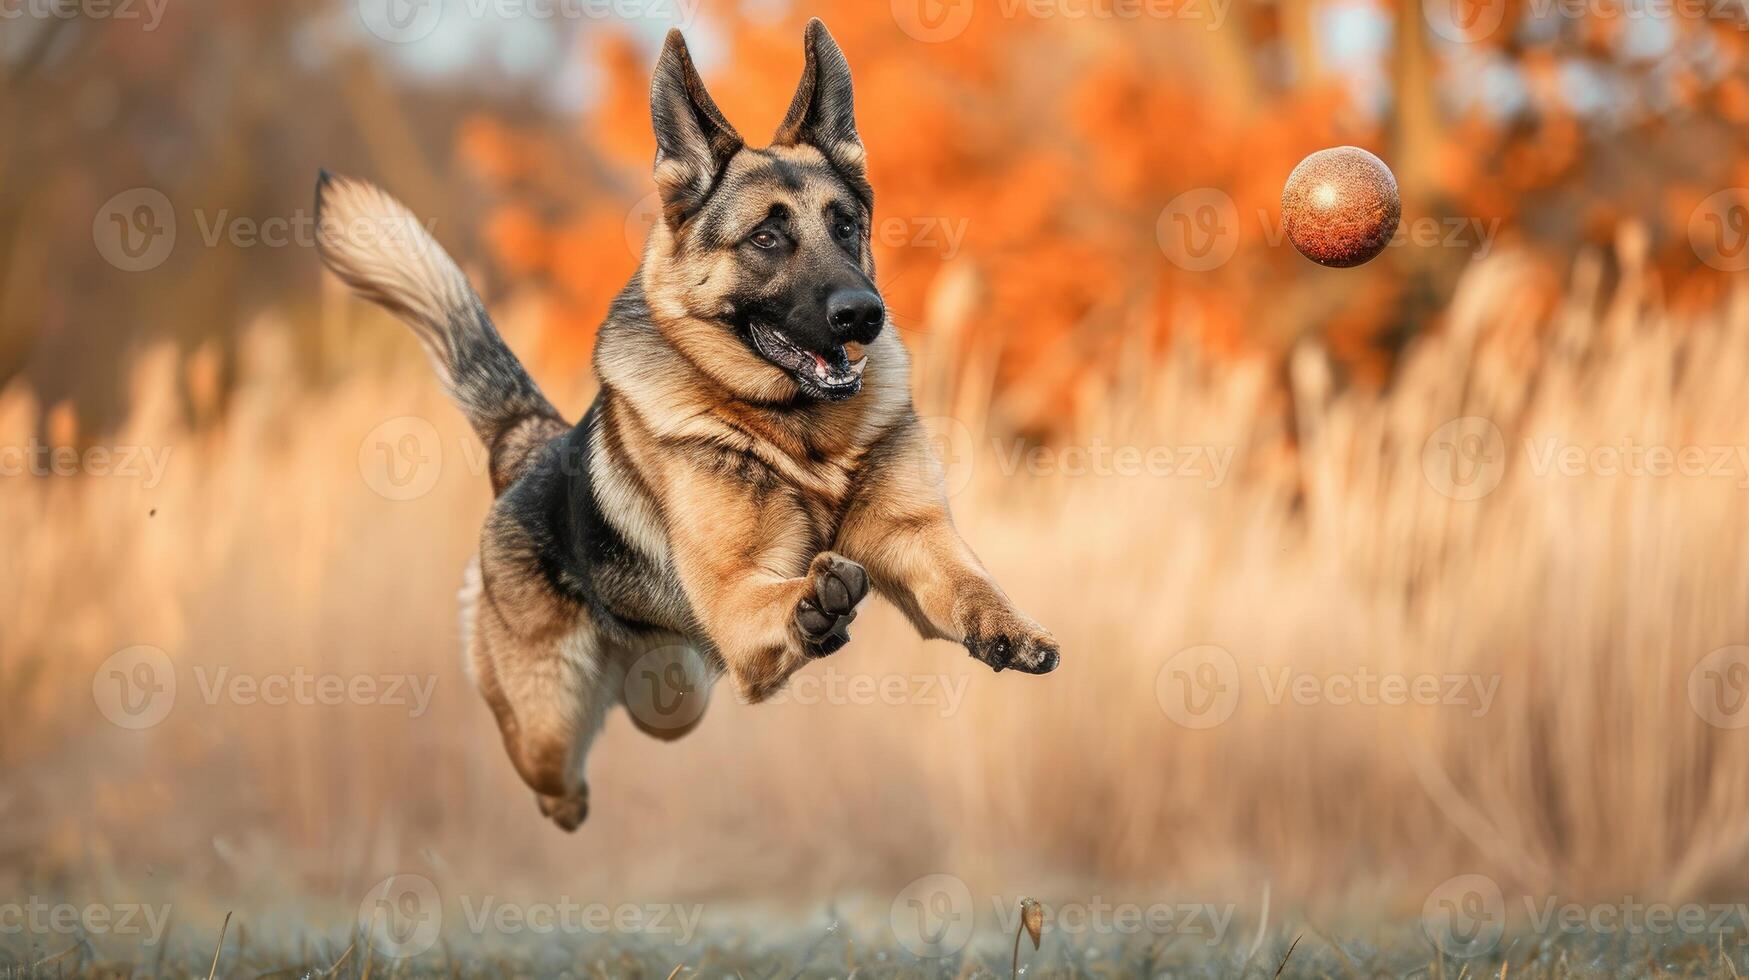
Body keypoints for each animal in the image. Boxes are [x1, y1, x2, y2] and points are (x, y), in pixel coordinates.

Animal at [313, 19, 1049, 829]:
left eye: (846, 226)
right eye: (766, 238)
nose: (864, 315)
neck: (803, 437)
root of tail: (531, 445)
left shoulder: (915, 541)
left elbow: (969, 583)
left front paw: (1011, 627)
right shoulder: (733, 597)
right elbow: (778, 595)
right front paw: (811, 605)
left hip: (678, 697)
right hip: (549, 725)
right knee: (545, 767)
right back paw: (568, 801)